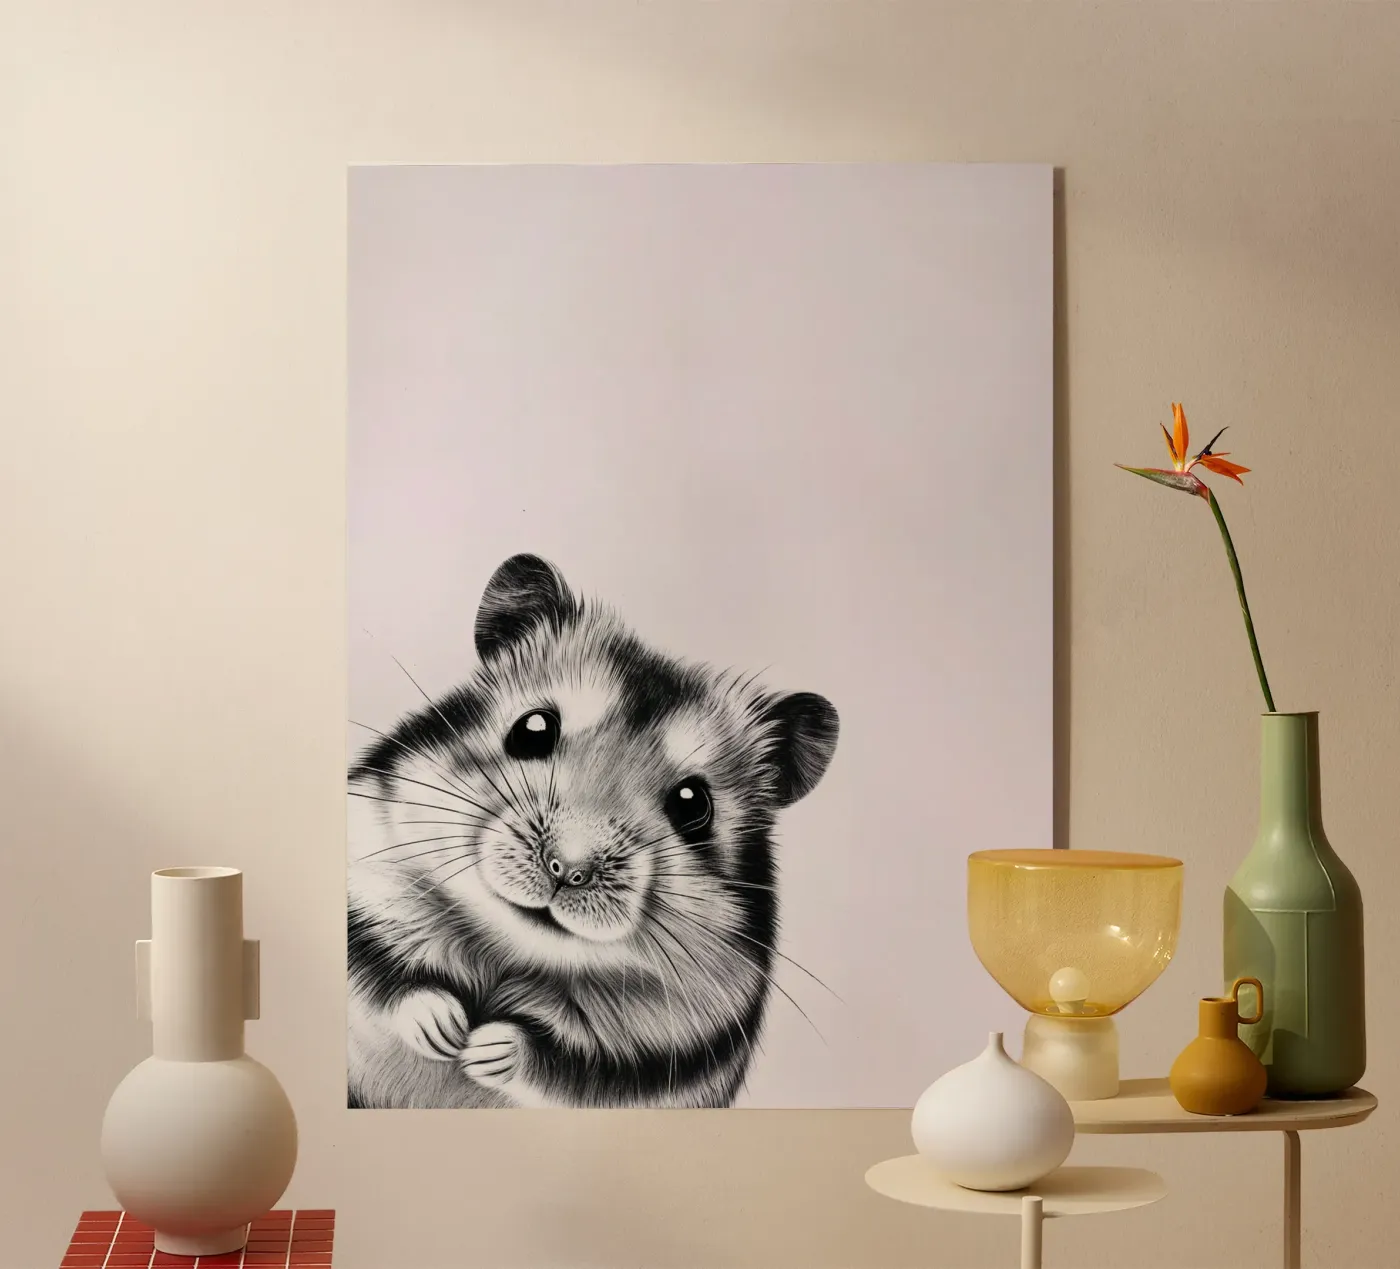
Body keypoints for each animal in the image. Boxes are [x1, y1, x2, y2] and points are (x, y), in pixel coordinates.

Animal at [347, 553, 839, 1108]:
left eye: (694, 805)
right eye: (532, 728)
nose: (567, 869)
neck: (515, 955)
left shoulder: (656, 1054)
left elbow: (559, 1060)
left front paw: (482, 1050)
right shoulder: (365, 895)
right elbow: (400, 985)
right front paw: (447, 1032)